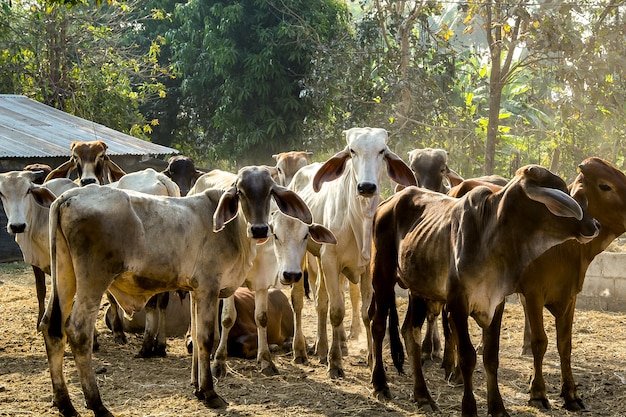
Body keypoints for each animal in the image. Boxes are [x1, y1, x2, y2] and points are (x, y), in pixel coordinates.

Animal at [39, 165, 312, 412]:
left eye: (269, 192)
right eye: (240, 191)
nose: (259, 229)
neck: (232, 230)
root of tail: (69, 196)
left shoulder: (195, 291)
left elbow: (196, 337)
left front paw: (198, 388)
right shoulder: (209, 288)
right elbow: (206, 338)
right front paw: (210, 393)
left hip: (64, 276)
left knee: (51, 327)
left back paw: (64, 403)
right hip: (92, 280)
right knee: (78, 331)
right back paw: (97, 404)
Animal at [189, 169, 336, 374]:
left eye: (305, 236)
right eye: (276, 235)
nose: (291, 274)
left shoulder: (263, 281)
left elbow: (261, 317)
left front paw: (265, 359)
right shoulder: (231, 281)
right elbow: (227, 317)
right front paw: (219, 362)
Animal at [288, 127, 414, 376]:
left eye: (381, 151)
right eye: (352, 151)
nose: (366, 187)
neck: (358, 219)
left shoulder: (367, 269)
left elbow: (367, 312)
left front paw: (371, 359)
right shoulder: (330, 260)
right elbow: (337, 311)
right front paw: (335, 363)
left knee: (321, 300)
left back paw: (323, 347)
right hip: (306, 256)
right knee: (300, 300)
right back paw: (301, 351)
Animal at [368, 164, 596, 416]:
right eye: (560, 191)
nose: (594, 226)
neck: (492, 236)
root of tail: (388, 202)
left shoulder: (496, 304)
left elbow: (490, 357)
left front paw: (498, 408)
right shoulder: (458, 304)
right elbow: (467, 357)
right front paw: (469, 408)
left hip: (418, 289)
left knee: (410, 331)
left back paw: (423, 396)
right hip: (382, 276)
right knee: (377, 325)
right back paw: (380, 384)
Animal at [516, 156, 624, 410]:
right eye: (605, 186)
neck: (562, 247)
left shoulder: (570, 296)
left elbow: (564, 344)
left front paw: (571, 394)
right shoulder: (533, 293)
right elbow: (540, 341)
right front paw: (538, 392)